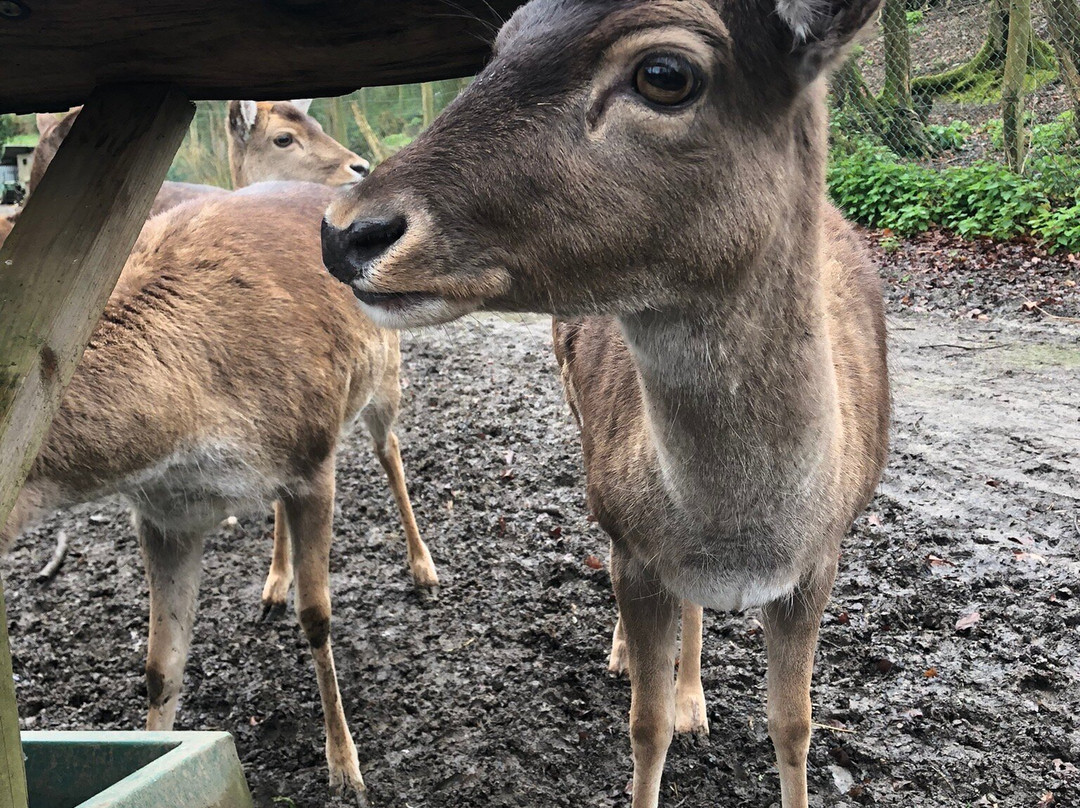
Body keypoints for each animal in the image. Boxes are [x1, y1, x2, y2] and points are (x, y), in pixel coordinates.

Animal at [2, 184, 438, 808]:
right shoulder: (165, 516)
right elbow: (160, 666)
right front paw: (153, 754)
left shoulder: (314, 461)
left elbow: (318, 617)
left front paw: (346, 770)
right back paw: (273, 586)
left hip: (386, 376)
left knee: (392, 451)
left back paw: (424, 571)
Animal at [321, 1, 894, 808]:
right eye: (500, 44)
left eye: (664, 74)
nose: (346, 230)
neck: (747, 536)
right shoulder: (637, 548)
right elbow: (643, 727)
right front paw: (658, 701)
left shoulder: (820, 562)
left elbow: (795, 725)